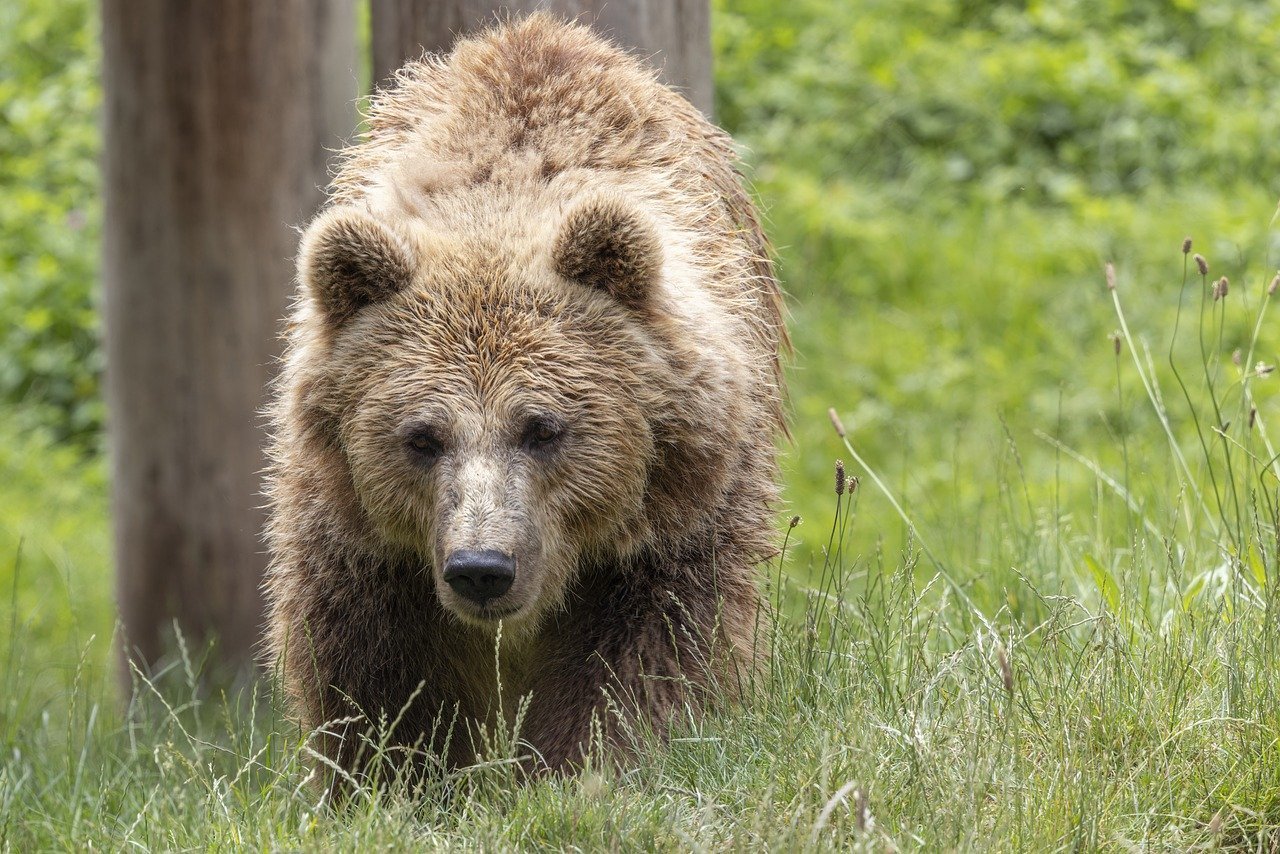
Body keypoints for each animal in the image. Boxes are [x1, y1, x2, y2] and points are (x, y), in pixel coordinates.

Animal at [263, 15, 783, 788]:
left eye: (543, 428)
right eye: (422, 436)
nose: (483, 568)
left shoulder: (671, 517)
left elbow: (643, 655)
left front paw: (585, 767)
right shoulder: (361, 534)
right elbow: (378, 671)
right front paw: (404, 777)